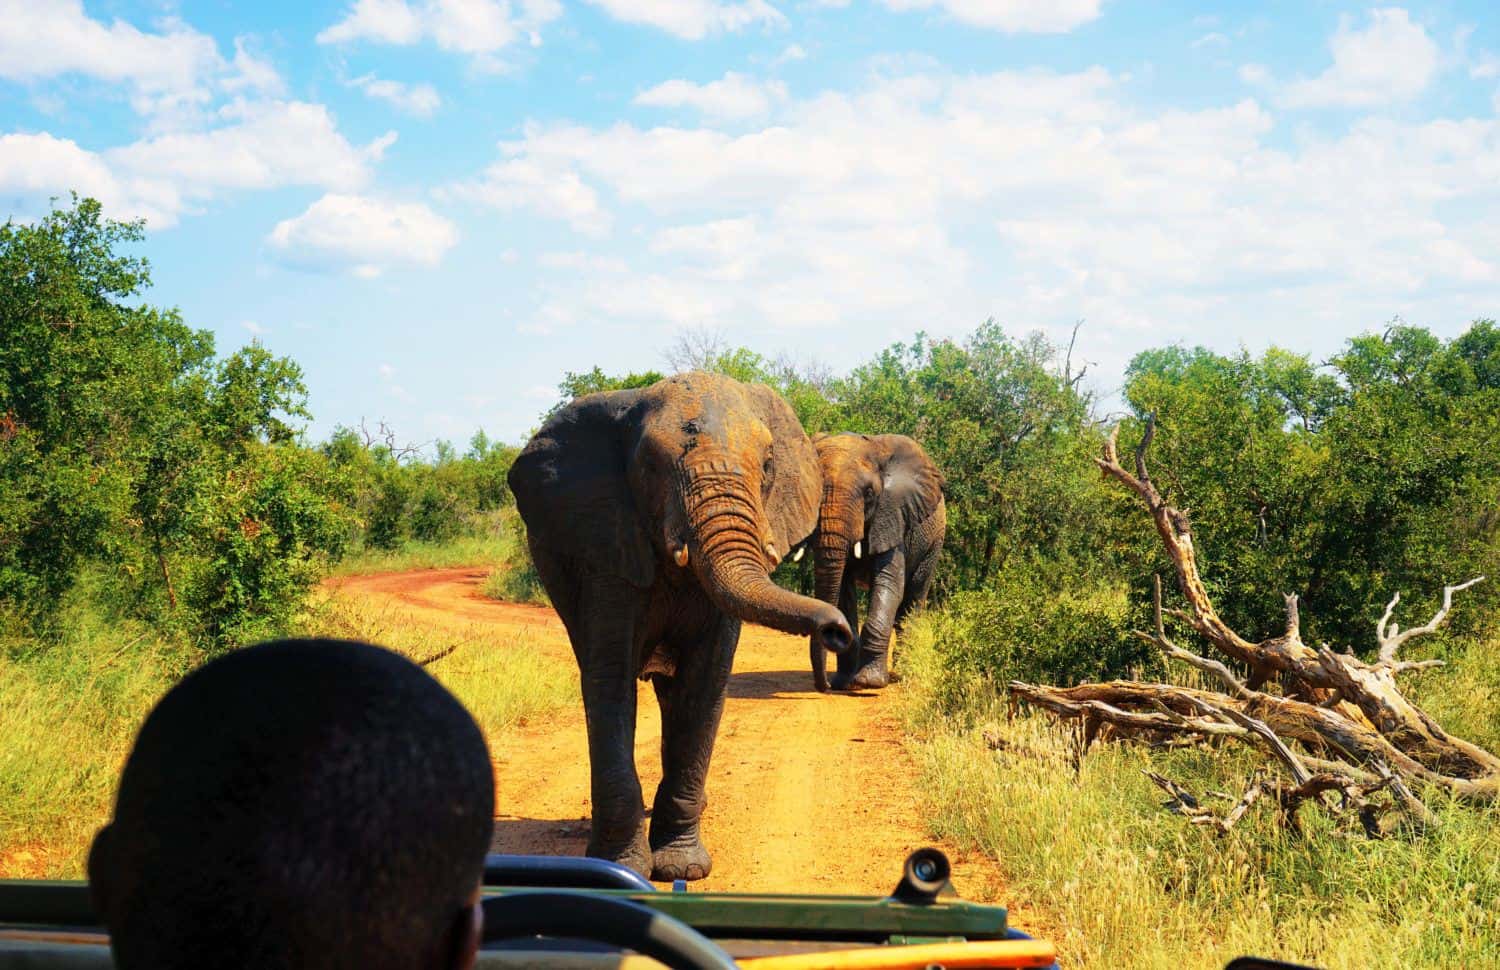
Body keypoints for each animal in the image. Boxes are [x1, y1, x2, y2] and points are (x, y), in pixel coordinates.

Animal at [507, 373, 852, 887]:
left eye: (768, 465)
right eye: (650, 467)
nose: (838, 631)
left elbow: (703, 684)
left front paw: (682, 866)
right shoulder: (609, 542)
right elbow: (609, 681)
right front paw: (621, 865)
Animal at [816, 431, 942, 689]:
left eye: (869, 494)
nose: (826, 686)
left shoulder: (892, 516)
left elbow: (889, 584)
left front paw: (869, 682)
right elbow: (843, 587)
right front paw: (844, 682)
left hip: (934, 543)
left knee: (913, 599)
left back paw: (902, 673)